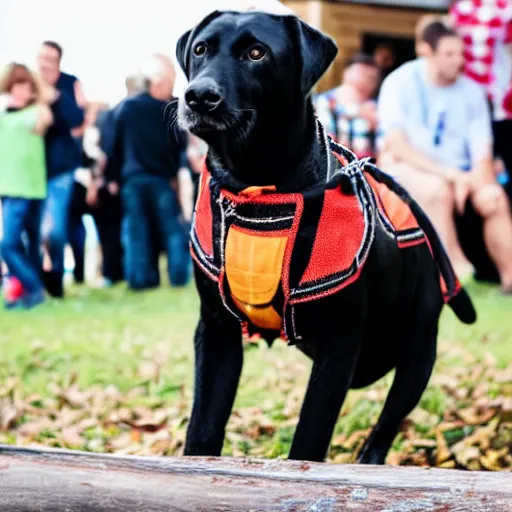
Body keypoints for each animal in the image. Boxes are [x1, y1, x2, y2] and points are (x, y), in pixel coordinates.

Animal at [173, 9, 476, 464]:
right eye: (200, 49)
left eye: (257, 53)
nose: (198, 96)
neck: (259, 187)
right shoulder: (216, 331)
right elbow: (203, 427)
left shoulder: (339, 344)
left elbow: (310, 437)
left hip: (418, 351)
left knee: (386, 425)